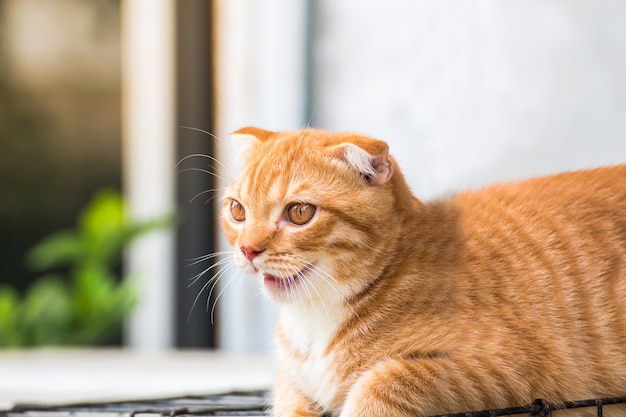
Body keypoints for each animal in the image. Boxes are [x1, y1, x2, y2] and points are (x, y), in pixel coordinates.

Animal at [221, 127, 624, 416]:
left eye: (300, 213)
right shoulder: (292, 379)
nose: (248, 249)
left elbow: (382, 383)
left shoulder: (516, 369)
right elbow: (289, 400)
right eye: (237, 210)